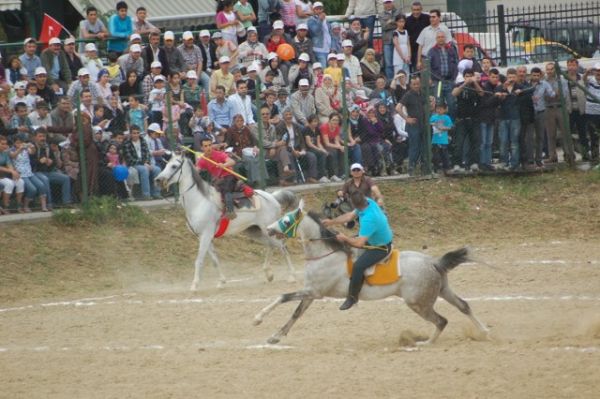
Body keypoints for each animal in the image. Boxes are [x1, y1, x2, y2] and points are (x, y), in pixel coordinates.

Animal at [154, 155, 296, 290]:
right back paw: (269, 274)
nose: (158, 180)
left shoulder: (206, 235)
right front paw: (221, 282)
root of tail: (272, 197)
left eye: (174, 166)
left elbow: (199, 260)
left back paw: (291, 276)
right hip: (255, 231)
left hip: (268, 229)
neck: (199, 202)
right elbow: (214, 260)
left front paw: (194, 285)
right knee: (272, 246)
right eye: (166, 164)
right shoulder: (203, 237)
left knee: (283, 247)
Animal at [255, 202, 490, 346]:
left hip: (418, 303)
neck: (325, 253)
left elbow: (282, 297)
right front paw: (275, 337)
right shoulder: (311, 293)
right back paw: (484, 332)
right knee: (464, 306)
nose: (268, 229)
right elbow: (296, 313)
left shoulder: (314, 292)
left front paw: (258, 319)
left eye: (286, 221)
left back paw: (425, 343)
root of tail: (434, 262)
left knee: (442, 321)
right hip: (442, 291)